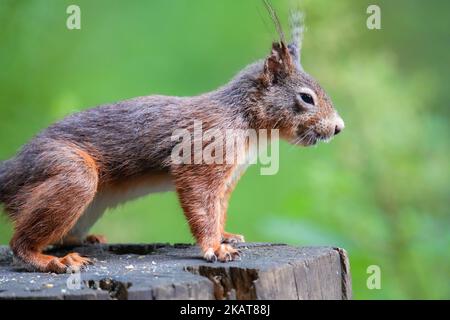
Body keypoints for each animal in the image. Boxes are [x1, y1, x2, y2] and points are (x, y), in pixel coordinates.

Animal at [0, 4, 344, 272]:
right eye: (306, 98)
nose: (338, 127)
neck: (245, 120)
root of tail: (13, 168)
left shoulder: (228, 179)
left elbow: (218, 209)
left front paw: (226, 235)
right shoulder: (202, 157)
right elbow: (202, 205)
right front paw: (214, 248)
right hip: (71, 174)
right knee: (19, 243)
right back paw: (52, 260)